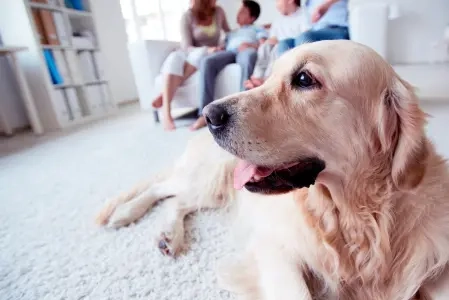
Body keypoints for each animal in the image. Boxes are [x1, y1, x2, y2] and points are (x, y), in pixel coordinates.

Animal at [96, 40, 448, 300]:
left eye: (304, 79)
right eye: (268, 77)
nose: (209, 114)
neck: (353, 217)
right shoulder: (276, 248)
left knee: (178, 200)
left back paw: (168, 235)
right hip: (212, 177)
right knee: (165, 189)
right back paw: (127, 213)